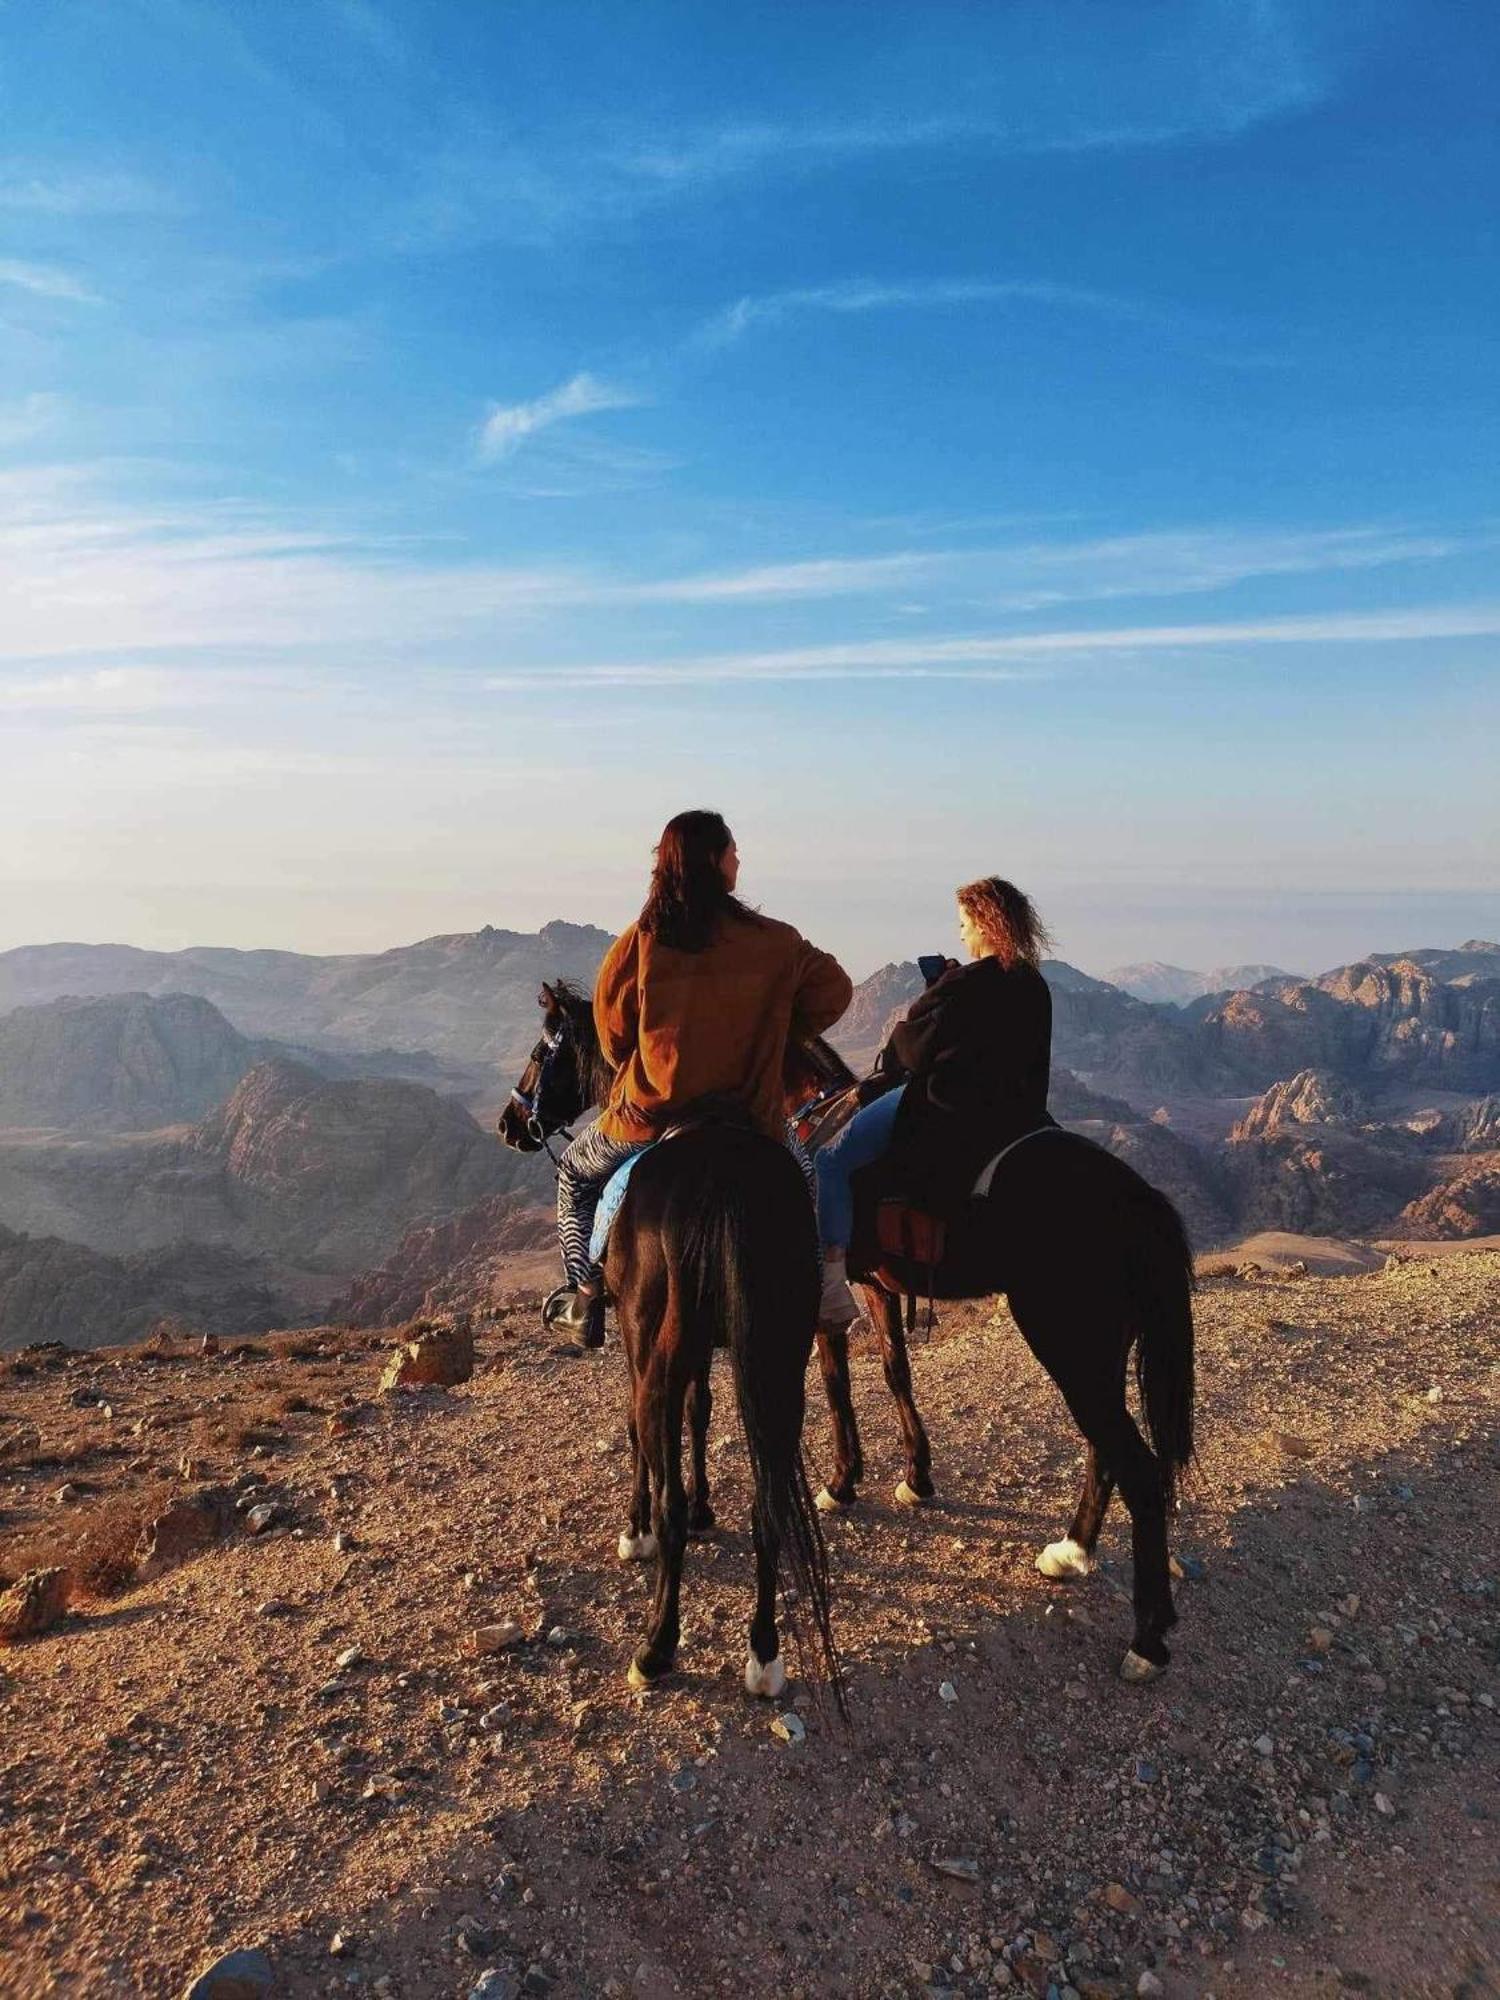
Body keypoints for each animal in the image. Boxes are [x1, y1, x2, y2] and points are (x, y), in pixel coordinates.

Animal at [500, 984, 840, 1704]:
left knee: (669, 1496)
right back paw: (764, 1653)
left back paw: (657, 1644)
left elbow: (639, 1435)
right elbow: (701, 1411)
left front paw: (635, 1531)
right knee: (769, 1506)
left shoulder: (637, 1343)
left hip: (660, 1348)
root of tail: (725, 1177)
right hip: (777, 1360)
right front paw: (712, 1504)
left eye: (543, 1051)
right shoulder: (708, 1350)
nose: (511, 1124)